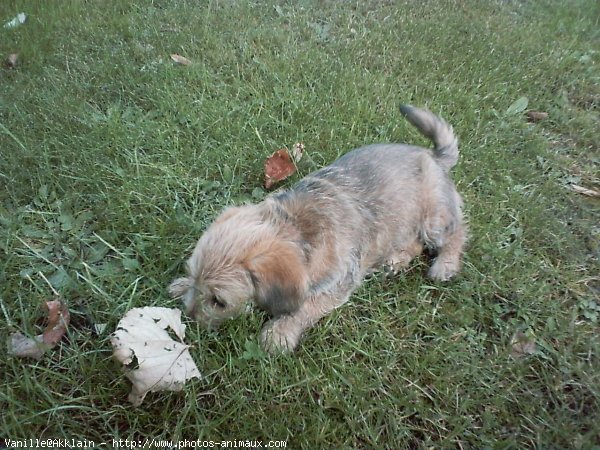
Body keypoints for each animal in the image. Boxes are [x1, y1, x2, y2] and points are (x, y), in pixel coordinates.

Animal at [169, 104, 464, 352]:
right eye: (194, 276)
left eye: (219, 302)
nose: (190, 318)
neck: (297, 227)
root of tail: (434, 156)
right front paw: (181, 285)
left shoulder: (337, 284)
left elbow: (304, 306)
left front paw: (279, 333)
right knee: (413, 240)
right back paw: (397, 259)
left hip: (435, 218)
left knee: (456, 233)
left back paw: (445, 264)